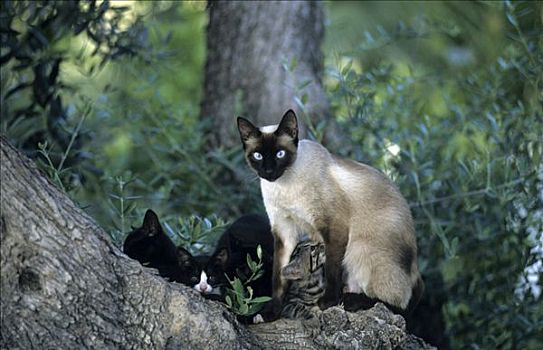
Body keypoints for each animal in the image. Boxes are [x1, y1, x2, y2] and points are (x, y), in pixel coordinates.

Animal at [238, 110, 424, 322]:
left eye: (280, 153)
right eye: (258, 155)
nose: (269, 171)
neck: (283, 186)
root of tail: (416, 266)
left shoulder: (333, 227)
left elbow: (331, 270)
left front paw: (327, 302)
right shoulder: (284, 232)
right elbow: (278, 278)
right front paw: (270, 313)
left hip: (360, 250)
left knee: (399, 304)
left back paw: (352, 301)